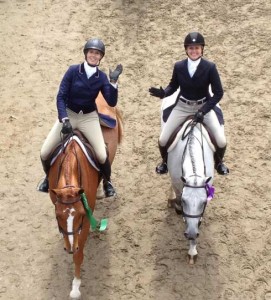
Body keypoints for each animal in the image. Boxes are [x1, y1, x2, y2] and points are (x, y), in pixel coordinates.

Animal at [48, 95, 123, 298]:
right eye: (57, 216)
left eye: (81, 215)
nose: (69, 248)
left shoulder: (86, 219)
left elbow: (79, 252)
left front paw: (75, 286)